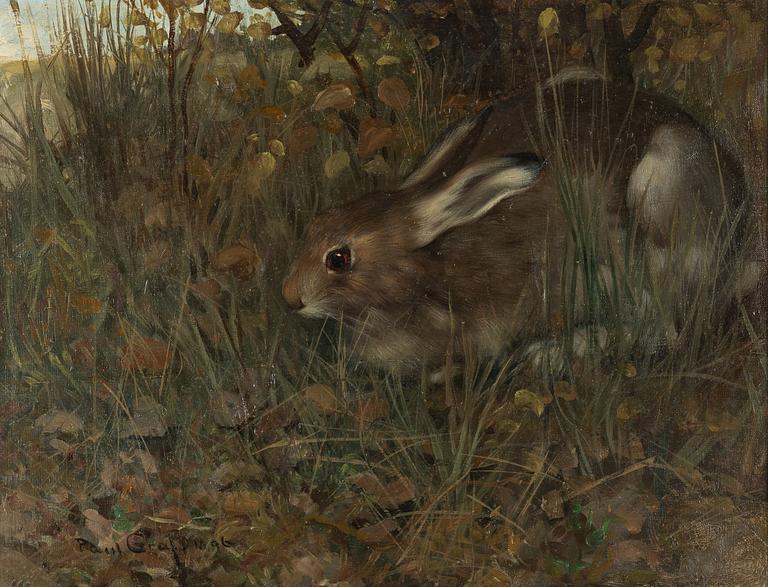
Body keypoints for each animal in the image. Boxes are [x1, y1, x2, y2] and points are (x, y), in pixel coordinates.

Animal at [282, 70, 755, 368]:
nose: (290, 298)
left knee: (668, 328)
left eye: (339, 258)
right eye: (315, 226)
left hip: (659, 195)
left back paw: (553, 353)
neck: (431, 268)